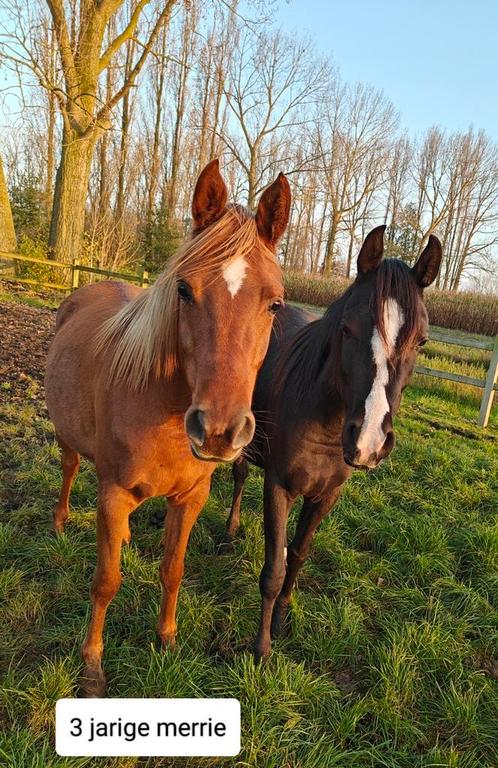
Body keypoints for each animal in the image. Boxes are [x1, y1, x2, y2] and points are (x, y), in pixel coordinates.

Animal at [45, 160, 292, 696]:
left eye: (275, 304)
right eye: (184, 290)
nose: (218, 430)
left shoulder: (190, 499)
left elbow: (173, 570)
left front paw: (166, 639)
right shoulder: (113, 492)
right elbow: (106, 581)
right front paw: (92, 664)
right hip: (69, 441)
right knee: (70, 470)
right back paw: (58, 523)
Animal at [224, 224, 442, 660]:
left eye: (422, 341)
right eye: (347, 328)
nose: (370, 440)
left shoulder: (326, 496)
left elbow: (297, 555)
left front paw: (282, 620)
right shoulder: (279, 486)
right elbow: (274, 568)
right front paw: (261, 649)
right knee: (238, 476)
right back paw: (229, 529)